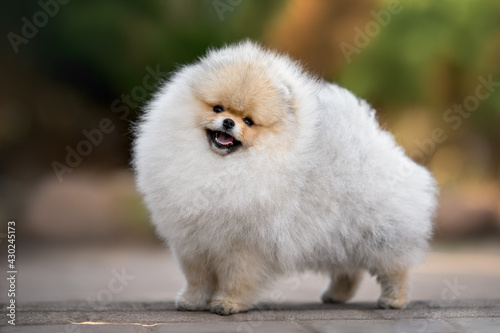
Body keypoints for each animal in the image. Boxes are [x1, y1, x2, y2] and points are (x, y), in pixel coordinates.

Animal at [134, 40, 438, 314]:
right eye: (217, 108)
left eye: (248, 121)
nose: (229, 122)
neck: (222, 166)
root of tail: (379, 142)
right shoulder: (193, 242)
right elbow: (197, 277)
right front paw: (192, 301)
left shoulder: (244, 245)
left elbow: (236, 278)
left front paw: (228, 303)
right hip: (340, 234)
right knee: (349, 270)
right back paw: (336, 295)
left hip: (378, 234)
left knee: (395, 269)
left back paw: (394, 299)